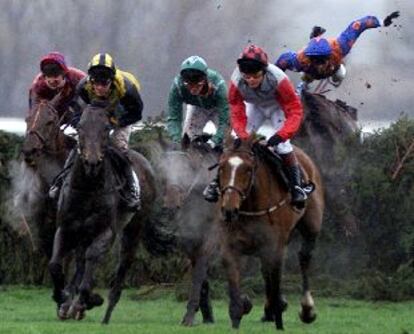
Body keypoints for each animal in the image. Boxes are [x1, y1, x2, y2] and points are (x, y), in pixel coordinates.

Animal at [47, 105, 158, 324]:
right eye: (80, 127)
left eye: (106, 128)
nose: (91, 162)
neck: (88, 187)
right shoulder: (66, 228)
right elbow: (55, 265)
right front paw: (61, 297)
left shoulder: (107, 232)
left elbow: (92, 260)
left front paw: (88, 300)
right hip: (84, 234)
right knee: (80, 261)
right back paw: (69, 304)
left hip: (133, 230)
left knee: (121, 266)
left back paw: (103, 315)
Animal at [217, 134, 324, 330]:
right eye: (221, 167)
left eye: (248, 169)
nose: (228, 209)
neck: (251, 205)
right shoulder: (230, 246)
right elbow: (236, 282)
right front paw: (240, 311)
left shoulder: (276, 245)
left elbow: (276, 276)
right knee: (266, 269)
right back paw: (270, 310)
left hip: (311, 227)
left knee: (304, 257)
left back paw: (306, 309)